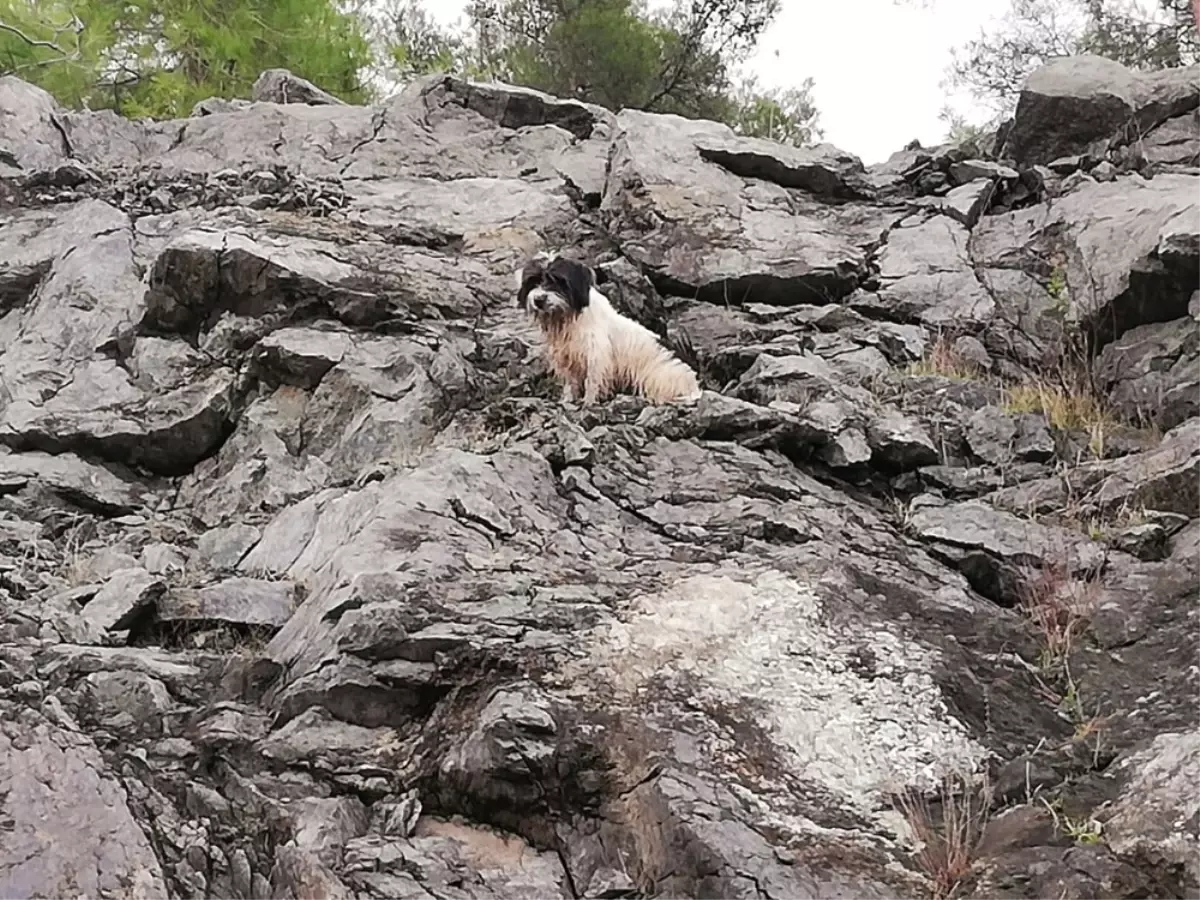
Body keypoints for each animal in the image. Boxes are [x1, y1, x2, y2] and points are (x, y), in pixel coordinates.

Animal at [516, 254, 700, 408]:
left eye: (556, 280)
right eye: (534, 281)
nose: (539, 300)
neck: (568, 317)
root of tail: (695, 386)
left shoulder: (596, 354)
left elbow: (592, 381)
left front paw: (588, 402)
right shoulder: (566, 357)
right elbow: (570, 382)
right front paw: (567, 400)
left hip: (656, 377)